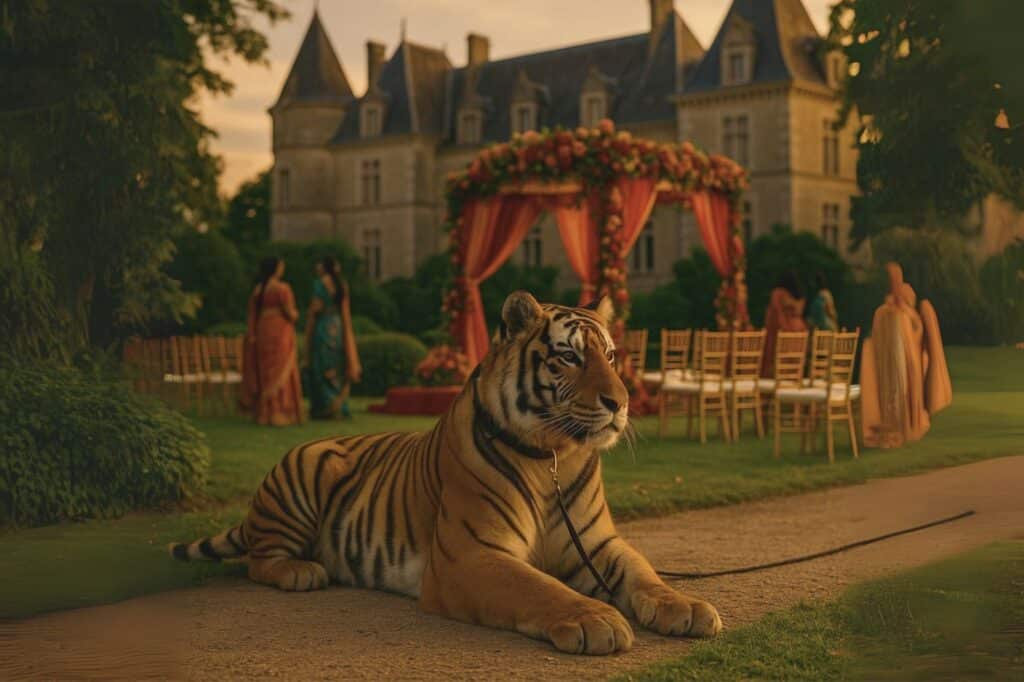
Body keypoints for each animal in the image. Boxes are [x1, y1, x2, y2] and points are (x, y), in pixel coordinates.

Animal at [169, 291, 722, 655]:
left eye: (608, 354)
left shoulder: (599, 543)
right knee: (258, 560)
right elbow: (537, 587)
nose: (620, 403)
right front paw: (595, 619)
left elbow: (645, 573)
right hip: (306, 473)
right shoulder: (470, 555)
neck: (552, 455)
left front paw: (687, 605)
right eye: (568, 356)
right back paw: (300, 571)